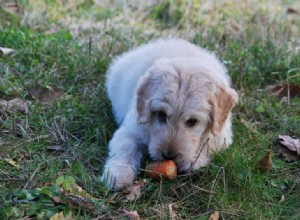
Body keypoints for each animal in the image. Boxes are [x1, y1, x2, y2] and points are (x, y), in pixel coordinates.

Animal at [101, 38, 239, 190]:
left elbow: (209, 145)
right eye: (161, 114)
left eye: (192, 122)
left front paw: (194, 160)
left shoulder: (222, 135)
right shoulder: (132, 129)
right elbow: (125, 147)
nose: (168, 156)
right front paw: (118, 173)